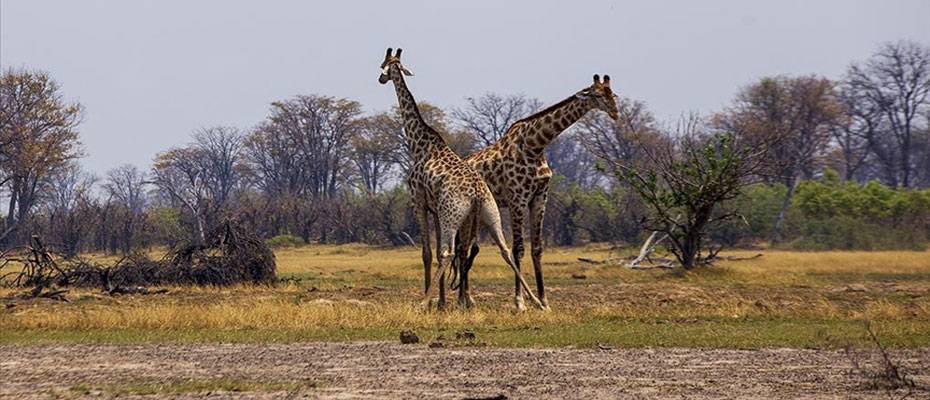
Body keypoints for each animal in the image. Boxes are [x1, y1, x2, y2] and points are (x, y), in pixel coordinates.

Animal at [376, 48, 544, 310]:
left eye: (383, 64)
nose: (380, 79)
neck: (418, 143)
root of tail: (476, 193)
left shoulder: (419, 201)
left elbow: (427, 252)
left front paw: (433, 302)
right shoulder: (436, 208)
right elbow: (435, 252)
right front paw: (442, 302)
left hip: (453, 215)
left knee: (450, 252)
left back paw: (423, 302)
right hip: (489, 213)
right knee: (505, 250)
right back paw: (535, 302)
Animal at [452, 73, 616, 310]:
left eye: (613, 94)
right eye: (597, 95)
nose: (615, 112)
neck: (535, 145)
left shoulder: (539, 197)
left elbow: (537, 248)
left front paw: (544, 301)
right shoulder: (517, 198)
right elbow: (518, 248)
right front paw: (520, 302)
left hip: (477, 213)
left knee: (466, 248)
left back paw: (467, 299)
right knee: (463, 248)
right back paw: (462, 301)